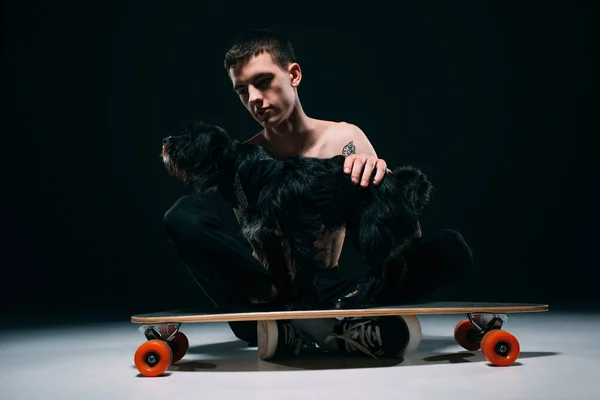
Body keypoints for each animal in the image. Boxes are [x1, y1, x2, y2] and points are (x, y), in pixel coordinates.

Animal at [161, 121, 432, 310]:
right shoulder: (267, 235)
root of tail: (403, 185)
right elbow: (279, 271)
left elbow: (304, 267)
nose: (165, 139)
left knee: (381, 269)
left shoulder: (298, 230)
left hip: (371, 232)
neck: (256, 174)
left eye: (191, 138)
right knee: (397, 264)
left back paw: (358, 300)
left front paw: (302, 302)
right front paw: (280, 301)